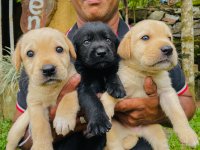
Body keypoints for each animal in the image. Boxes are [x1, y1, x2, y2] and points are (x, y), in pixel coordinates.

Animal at [101, 20, 198, 150]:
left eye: (169, 38)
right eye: (145, 37)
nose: (168, 49)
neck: (144, 73)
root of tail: (134, 133)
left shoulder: (167, 92)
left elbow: (178, 112)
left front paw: (188, 134)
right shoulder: (120, 88)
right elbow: (107, 99)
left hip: (156, 133)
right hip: (114, 139)